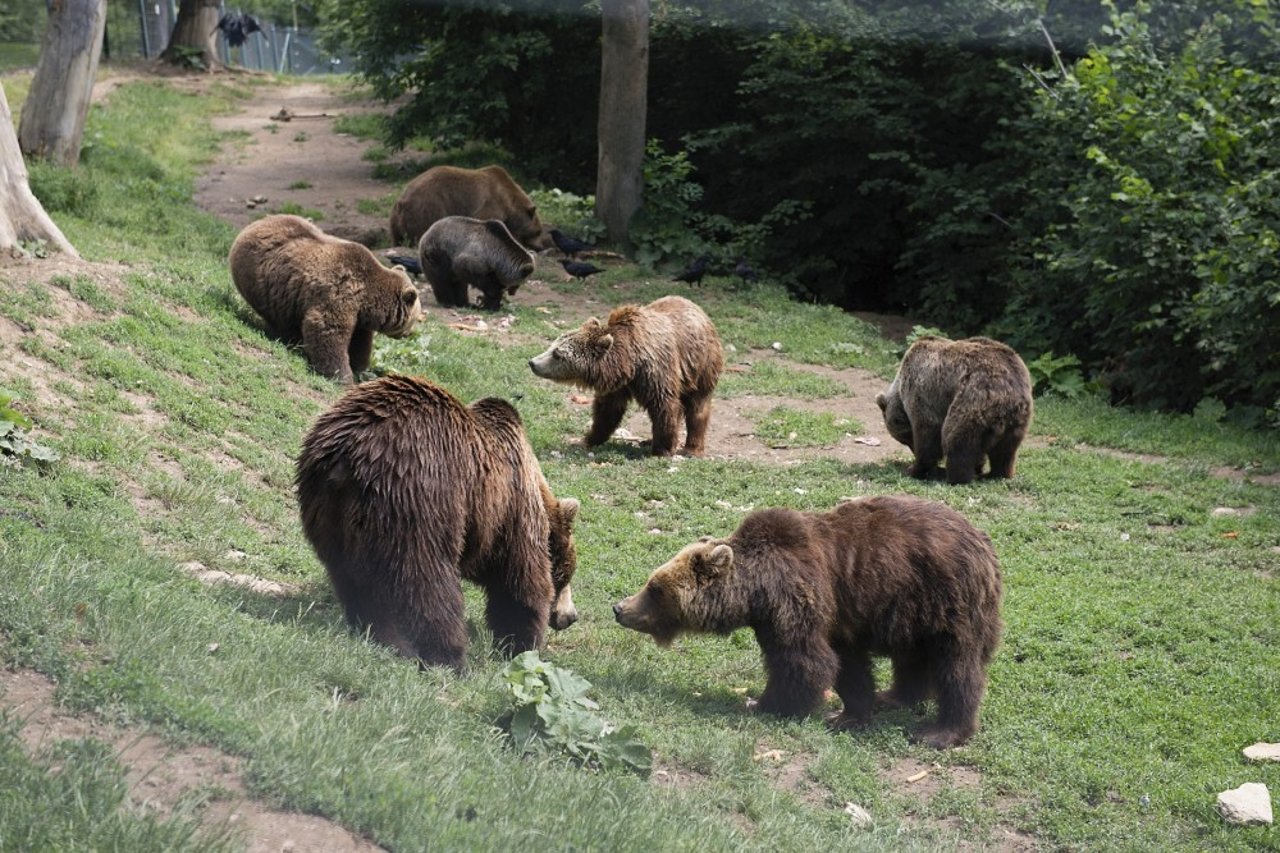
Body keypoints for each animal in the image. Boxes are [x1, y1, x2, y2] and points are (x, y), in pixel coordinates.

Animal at [227, 213, 422, 384]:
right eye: (417, 319)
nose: (409, 334)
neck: (367, 297)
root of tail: (253, 224)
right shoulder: (340, 295)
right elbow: (327, 329)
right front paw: (342, 376)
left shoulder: (359, 315)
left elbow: (360, 341)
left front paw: (359, 367)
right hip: (263, 284)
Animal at [294, 373, 581, 671]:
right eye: (566, 575)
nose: (571, 617)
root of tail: (346, 460)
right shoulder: (511, 510)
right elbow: (521, 582)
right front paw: (521, 647)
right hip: (420, 497)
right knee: (428, 584)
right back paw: (449, 657)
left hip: (329, 515)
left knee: (354, 581)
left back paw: (383, 637)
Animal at [527, 297, 727, 458]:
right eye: (553, 345)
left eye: (557, 354)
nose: (532, 362)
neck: (629, 363)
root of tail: (701, 312)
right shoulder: (617, 386)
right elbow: (607, 412)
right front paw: (588, 439)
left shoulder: (655, 372)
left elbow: (664, 405)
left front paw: (662, 450)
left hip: (702, 365)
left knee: (697, 407)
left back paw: (692, 449)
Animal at [614, 494, 1003, 747]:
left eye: (654, 588)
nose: (619, 608)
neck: (754, 593)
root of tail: (984, 543)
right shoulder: (839, 619)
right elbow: (848, 665)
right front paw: (849, 713)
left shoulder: (796, 598)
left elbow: (803, 660)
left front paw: (764, 703)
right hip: (912, 612)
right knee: (912, 658)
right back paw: (893, 697)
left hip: (947, 600)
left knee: (957, 667)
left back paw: (941, 731)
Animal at [875, 338, 1034, 489]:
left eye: (906, 438)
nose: (913, 450)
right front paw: (978, 466)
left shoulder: (923, 389)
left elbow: (928, 430)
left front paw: (916, 469)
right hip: (1018, 420)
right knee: (1005, 452)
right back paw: (996, 474)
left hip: (972, 400)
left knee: (956, 439)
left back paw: (953, 476)